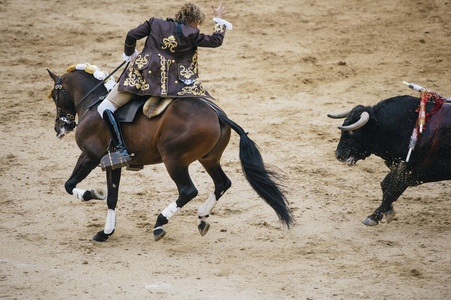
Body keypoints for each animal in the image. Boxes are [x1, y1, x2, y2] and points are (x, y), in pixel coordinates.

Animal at [46, 67, 294, 241]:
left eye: (55, 96)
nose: (59, 127)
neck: (94, 104)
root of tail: (218, 114)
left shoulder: (90, 156)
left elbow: (69, 185)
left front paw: (91, 194)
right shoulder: (112, 164)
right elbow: (112, 197)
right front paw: (106, 232)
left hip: (173, 160)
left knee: (188, 190)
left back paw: (160, 223)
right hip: (209, 159)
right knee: (222, 183)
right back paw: (202, 217)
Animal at [328, 95, 451, 226]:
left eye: (354, 131)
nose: (338, 155)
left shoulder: (411, 171)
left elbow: (391, 191)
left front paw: (373, 217)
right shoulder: (399, 165)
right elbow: (385, 184)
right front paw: (388, 211)